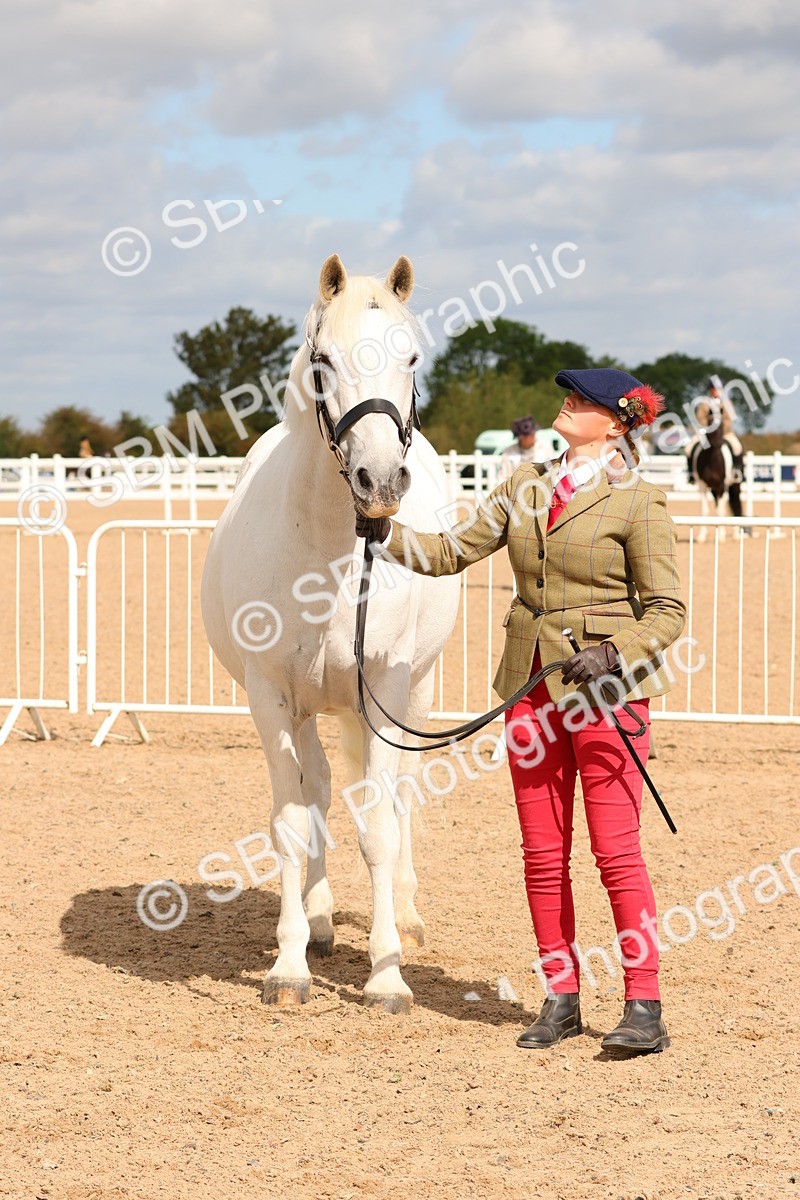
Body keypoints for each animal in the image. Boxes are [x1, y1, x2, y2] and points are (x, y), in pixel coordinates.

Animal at [201, 254, 460, 1013]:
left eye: (412, 358)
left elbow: (378, 826)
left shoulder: (386, 693)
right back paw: (316, 923)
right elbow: (291, 824)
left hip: (415, 695)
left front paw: (387, 973)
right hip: (307, 710)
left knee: (400, 797)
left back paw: (407, 915)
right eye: (323, 361)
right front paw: (289, 965)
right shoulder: (271, 699)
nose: (380, 482)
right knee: (314, 790)